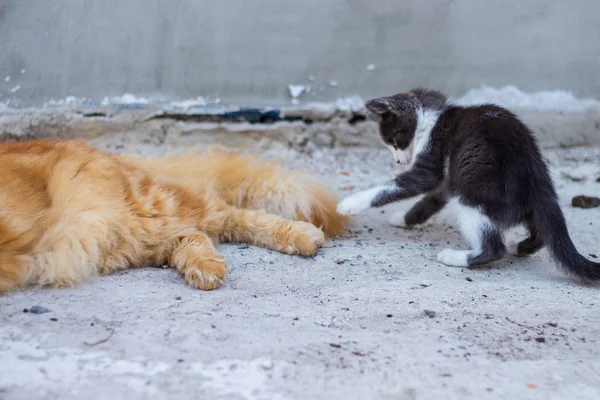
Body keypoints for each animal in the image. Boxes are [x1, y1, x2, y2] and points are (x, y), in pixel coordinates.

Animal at [0, 139, 346, 292]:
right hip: (123, 239)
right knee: (192, 237)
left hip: (148, 209)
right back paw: (205, 269)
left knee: (226, 215)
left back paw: (303, 235)